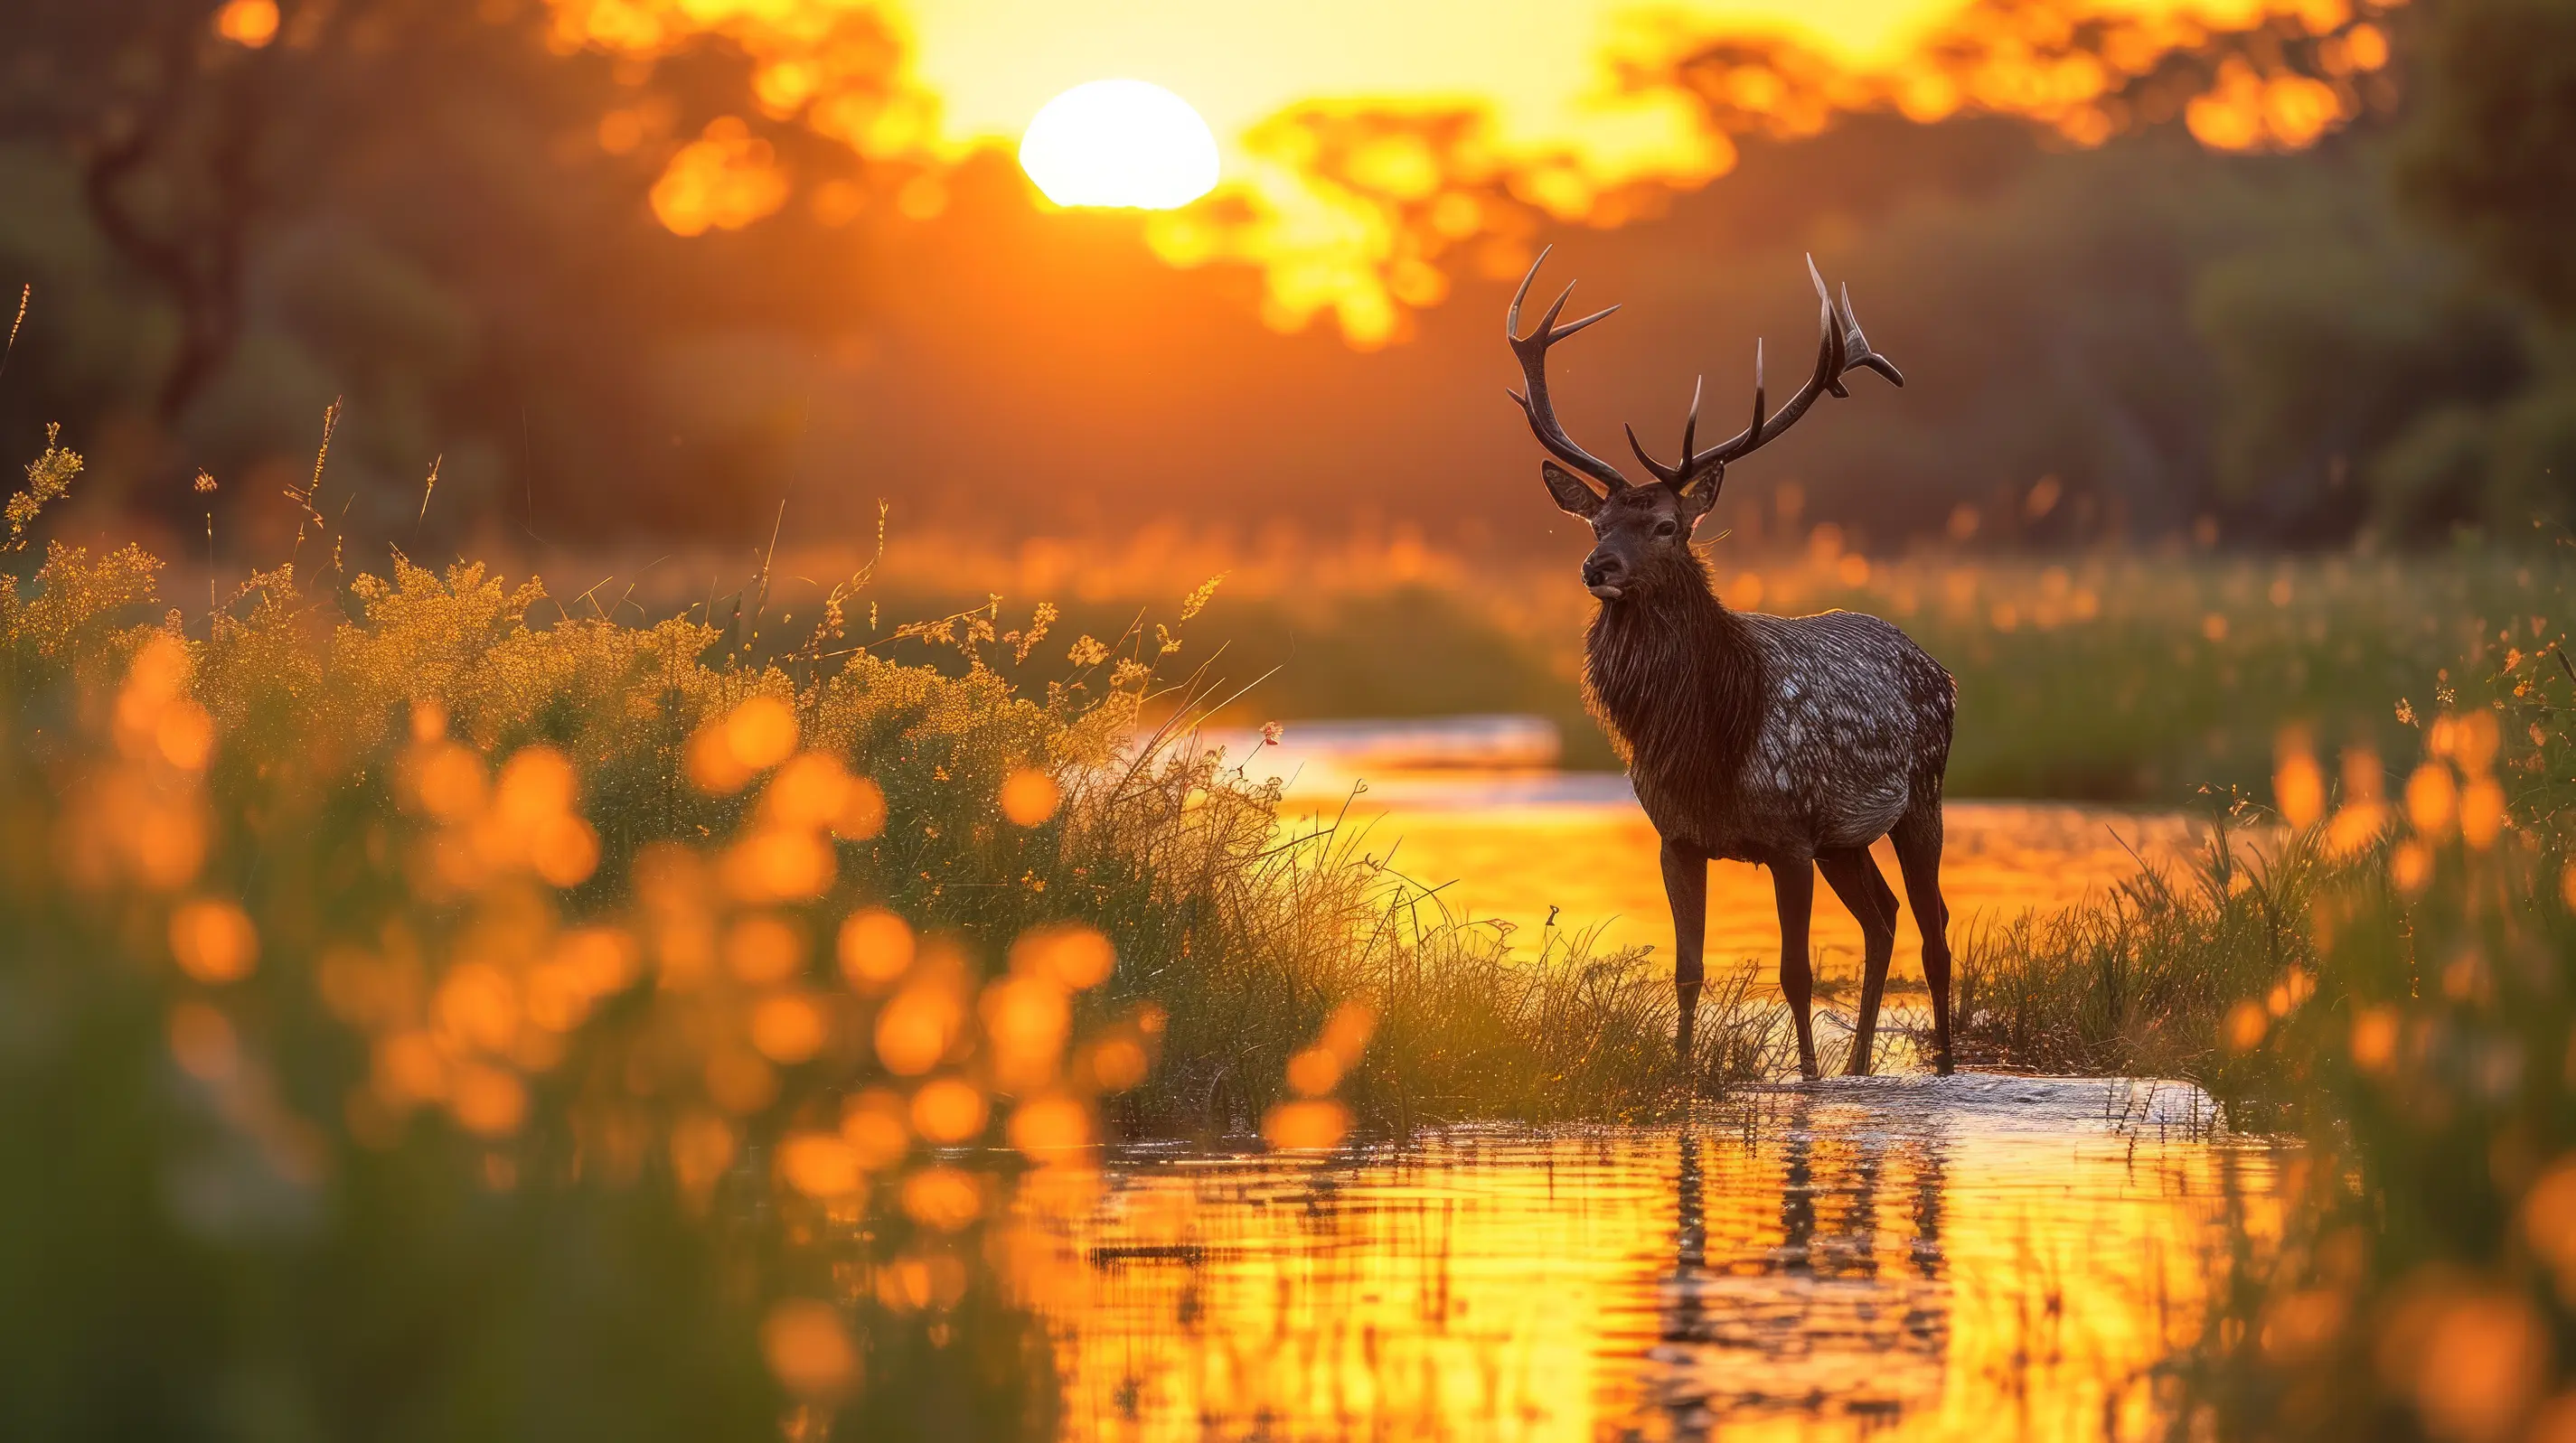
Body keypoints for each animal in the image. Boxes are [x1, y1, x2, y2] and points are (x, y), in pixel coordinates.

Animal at [1503, 247, 1956, 1081]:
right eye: (1596, 519)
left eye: (1666, 525)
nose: (1596, 567)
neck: (1706, 740)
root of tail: (1940, 669)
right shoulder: (1677, 834)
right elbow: (1689, 970)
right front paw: (1686, 1075)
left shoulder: (1788, 835)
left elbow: (1796, 971)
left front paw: (1805, 1079)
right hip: (1847, 838)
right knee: (1883, 917)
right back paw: (1859, 1066)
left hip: (1922, 798)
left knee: (1932, 927)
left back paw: (1941, 1068)